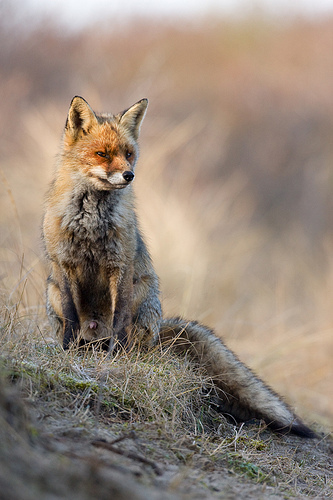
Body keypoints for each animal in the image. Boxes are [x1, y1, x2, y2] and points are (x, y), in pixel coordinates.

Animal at [42, 94, 316, 438]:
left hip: (142, 296)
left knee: (132, 340)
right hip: (51, 291)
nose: (129, 175)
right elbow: (70, 315)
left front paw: (116, 358)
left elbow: (119, 321)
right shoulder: (63, 265)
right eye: (102, 154)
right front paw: (66, 351)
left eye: (128, 154)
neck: (91, 219)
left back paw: (120, 351)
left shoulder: (121, 267)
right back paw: (82, 347)